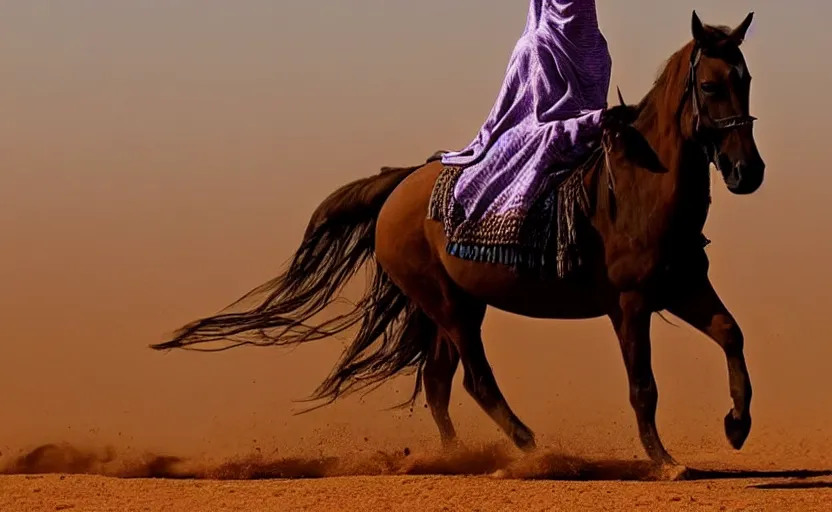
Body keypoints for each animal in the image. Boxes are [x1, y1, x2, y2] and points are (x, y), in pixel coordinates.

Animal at [151, 12, 768, 470]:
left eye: (746, 80)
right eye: (709, 85)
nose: (747, 172)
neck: (641, 188)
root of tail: (400, 185)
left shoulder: (682, 288)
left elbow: (731, 334)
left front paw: (737, 426)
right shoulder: (630, 304)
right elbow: (644, 385)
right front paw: (666, 461)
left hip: (457, 306)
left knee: (438, 380)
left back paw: (455, 456)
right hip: (448, 305)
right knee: (473, 379)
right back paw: (529, 448)